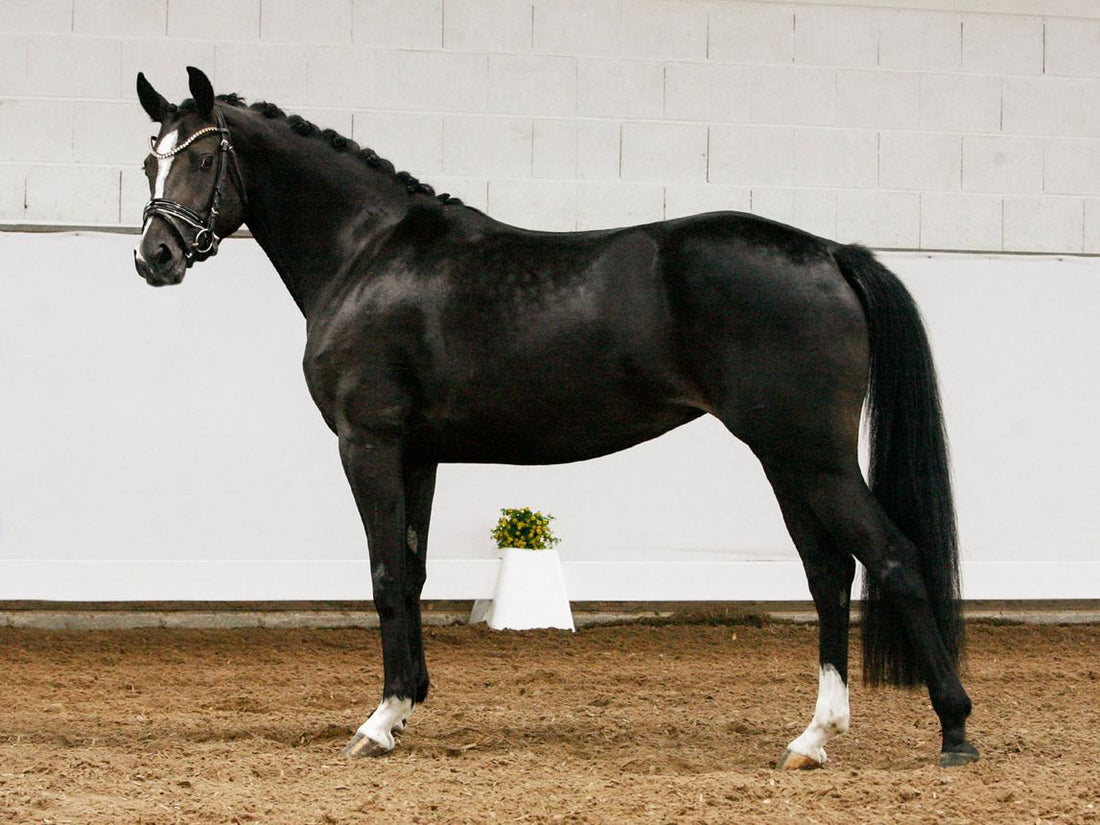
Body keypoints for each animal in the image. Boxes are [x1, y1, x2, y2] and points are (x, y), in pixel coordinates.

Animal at [133, 67, 979, 768]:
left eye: (202, 160)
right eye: (151, 161)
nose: (154, 257)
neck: (368, 254)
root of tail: (832, 253)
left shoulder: (366, 444)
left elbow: (383, 574)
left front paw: (377, 722)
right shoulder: (417, 453)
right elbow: (412, 570)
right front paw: (405, 707)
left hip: (811, 455)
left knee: (893, 557)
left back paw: (954, 729)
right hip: (785, 456)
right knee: (829, 573)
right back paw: (813, 736)